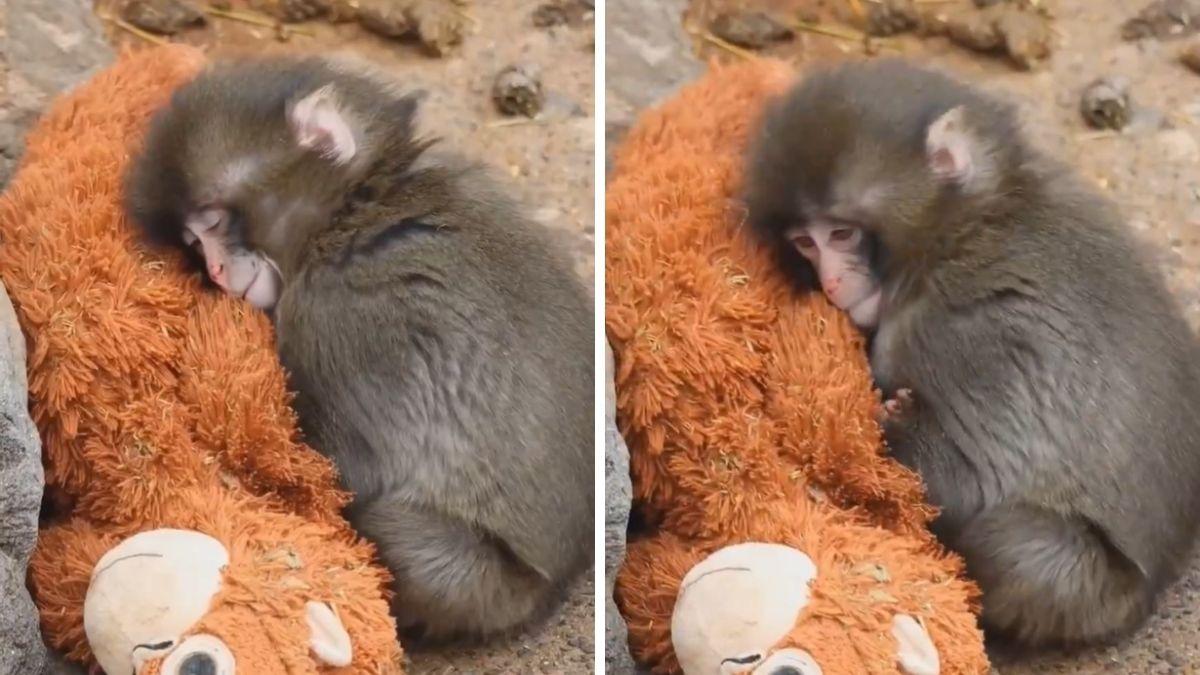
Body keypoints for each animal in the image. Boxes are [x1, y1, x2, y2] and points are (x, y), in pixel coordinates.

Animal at [124, 54, 595, 643]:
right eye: (192, 242)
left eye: (212, 221)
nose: (214, 269)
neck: (352, 211)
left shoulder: (330, 315)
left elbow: (346, 474)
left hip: (479, 586)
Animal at [744, 59, 1200, 651]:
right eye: (805, 242)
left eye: (841, 234)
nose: (831, 283)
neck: (963, 229)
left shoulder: (964, 334)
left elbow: (974, 481)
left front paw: (886, 427)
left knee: (1017, 547)